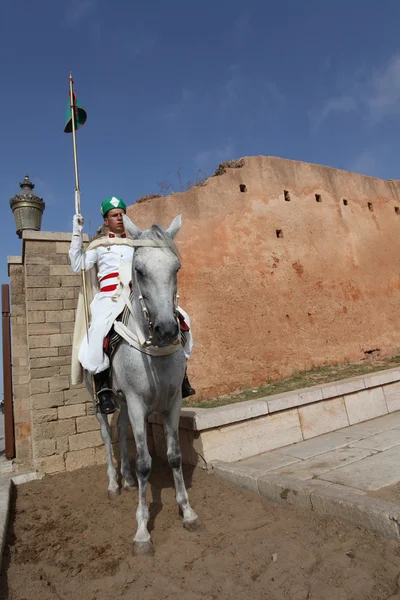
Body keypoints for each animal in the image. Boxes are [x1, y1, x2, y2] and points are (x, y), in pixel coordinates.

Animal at [86, 213, 202, 556]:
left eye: (176, 267)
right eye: (138, 270)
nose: (167, 329)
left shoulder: (173, 401)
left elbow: (174, 455)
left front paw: (187, 511)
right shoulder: (139, 404)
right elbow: (145, 464)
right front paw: (141, 531)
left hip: (125, 403)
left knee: (122, 430)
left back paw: (125, 477)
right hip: (100, 400)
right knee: (106, 434)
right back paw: (114, 482)